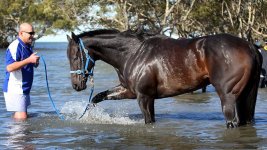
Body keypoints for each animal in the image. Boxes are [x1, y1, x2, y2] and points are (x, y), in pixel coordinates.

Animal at [66, 29, 262, 127]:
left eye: (75, 56)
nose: (76, 85)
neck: (133, 53)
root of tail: (250, 45)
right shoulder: (130, 91)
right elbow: (96, 98)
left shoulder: (143, 97)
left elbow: (148, 121)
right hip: (246, 95)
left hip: (228, 96)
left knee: (231, 122)